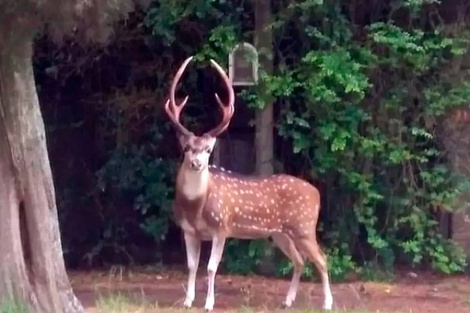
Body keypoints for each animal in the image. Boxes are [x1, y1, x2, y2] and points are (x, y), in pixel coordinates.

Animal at [165, 56, 334, 310]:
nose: (196, 163)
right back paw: (287, 301)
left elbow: (211, 268)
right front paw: (187, 301)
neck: (196, 206)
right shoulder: (188, 230)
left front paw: (209, 304)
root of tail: (317, 193)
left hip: (304, 225)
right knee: (299, 260)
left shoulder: (221, 227)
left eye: (208, 150)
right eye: (186, 148)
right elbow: (192, 266)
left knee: (322, 259)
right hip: (280, 233)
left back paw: (327, 303)